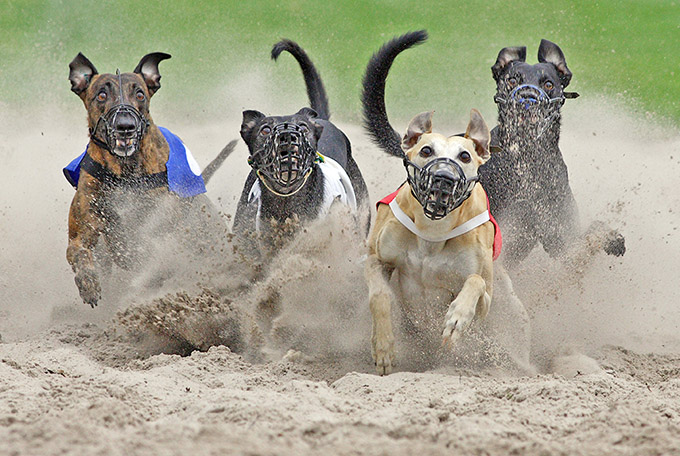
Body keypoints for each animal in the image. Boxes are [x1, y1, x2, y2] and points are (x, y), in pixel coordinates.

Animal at [65, 54, 234, 310]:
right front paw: (88, 283)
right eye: (101, 95)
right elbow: (79, 251)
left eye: (140, 94)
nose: (125, 126)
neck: (125, 171)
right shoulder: (83, 229)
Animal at [476, 40, 624, 268]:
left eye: (548, 84)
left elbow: (593, 229)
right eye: (512, 80)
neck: (527, 156)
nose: (527, 98)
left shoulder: (561, 236)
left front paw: (611, 239)